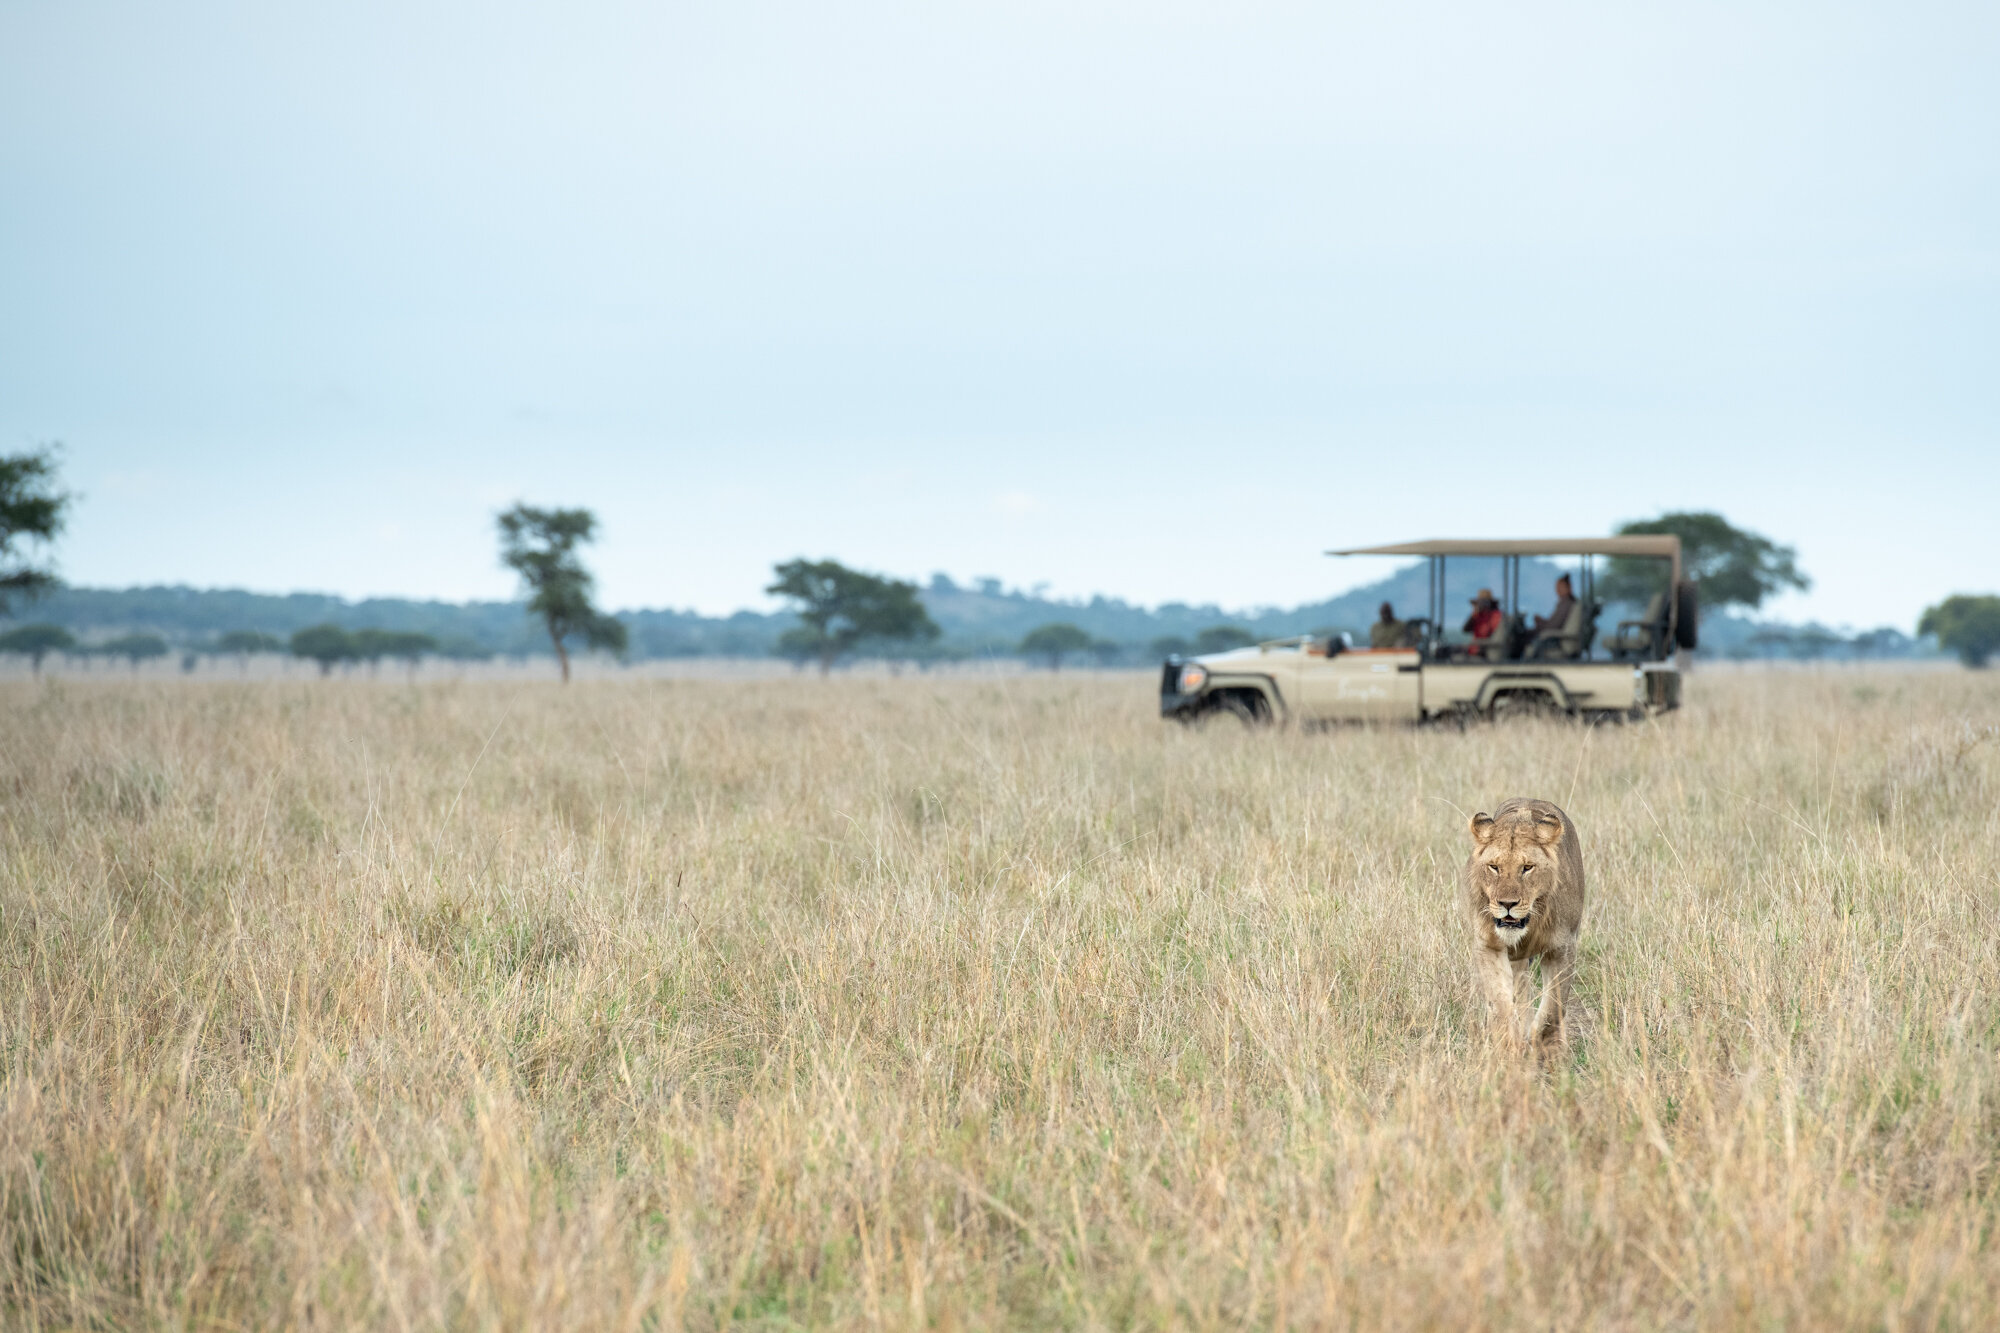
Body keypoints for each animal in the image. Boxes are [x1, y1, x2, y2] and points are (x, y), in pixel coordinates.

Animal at [1464, 792, 1584, 1056]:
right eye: (1494, 867)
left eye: (1527, 868)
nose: (1507, 903)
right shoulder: (1488, 946)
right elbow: (1500, 1003)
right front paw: (1509, 1047)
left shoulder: (1563, 948)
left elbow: (1553, 1009)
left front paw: (1543, 1045)